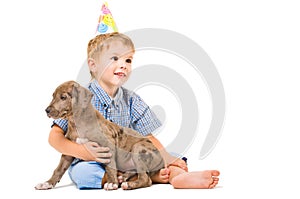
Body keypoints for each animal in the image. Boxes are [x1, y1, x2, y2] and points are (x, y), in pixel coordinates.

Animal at [36, 80, 165, 190]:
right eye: (53, 96)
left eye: (63, 97)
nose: (47, 110)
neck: (76, 122)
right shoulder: (69, 150)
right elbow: (59, 169)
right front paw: (47, 183)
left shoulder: (108, 145)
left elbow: (110, 165)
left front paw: (112, 183)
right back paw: (122, 178)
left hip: (138, 149)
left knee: (146, 179)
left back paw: (127, 184)